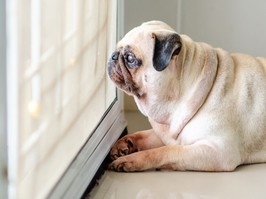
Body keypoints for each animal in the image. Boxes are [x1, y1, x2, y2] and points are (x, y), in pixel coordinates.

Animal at [106, 21, 266, 172]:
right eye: (117, 49)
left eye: (130, 58)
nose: (113, 56)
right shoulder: (170, 134)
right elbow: (143, 135)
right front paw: (125, 143)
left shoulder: (218, 151)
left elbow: (164, 151)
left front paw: (131, 159)